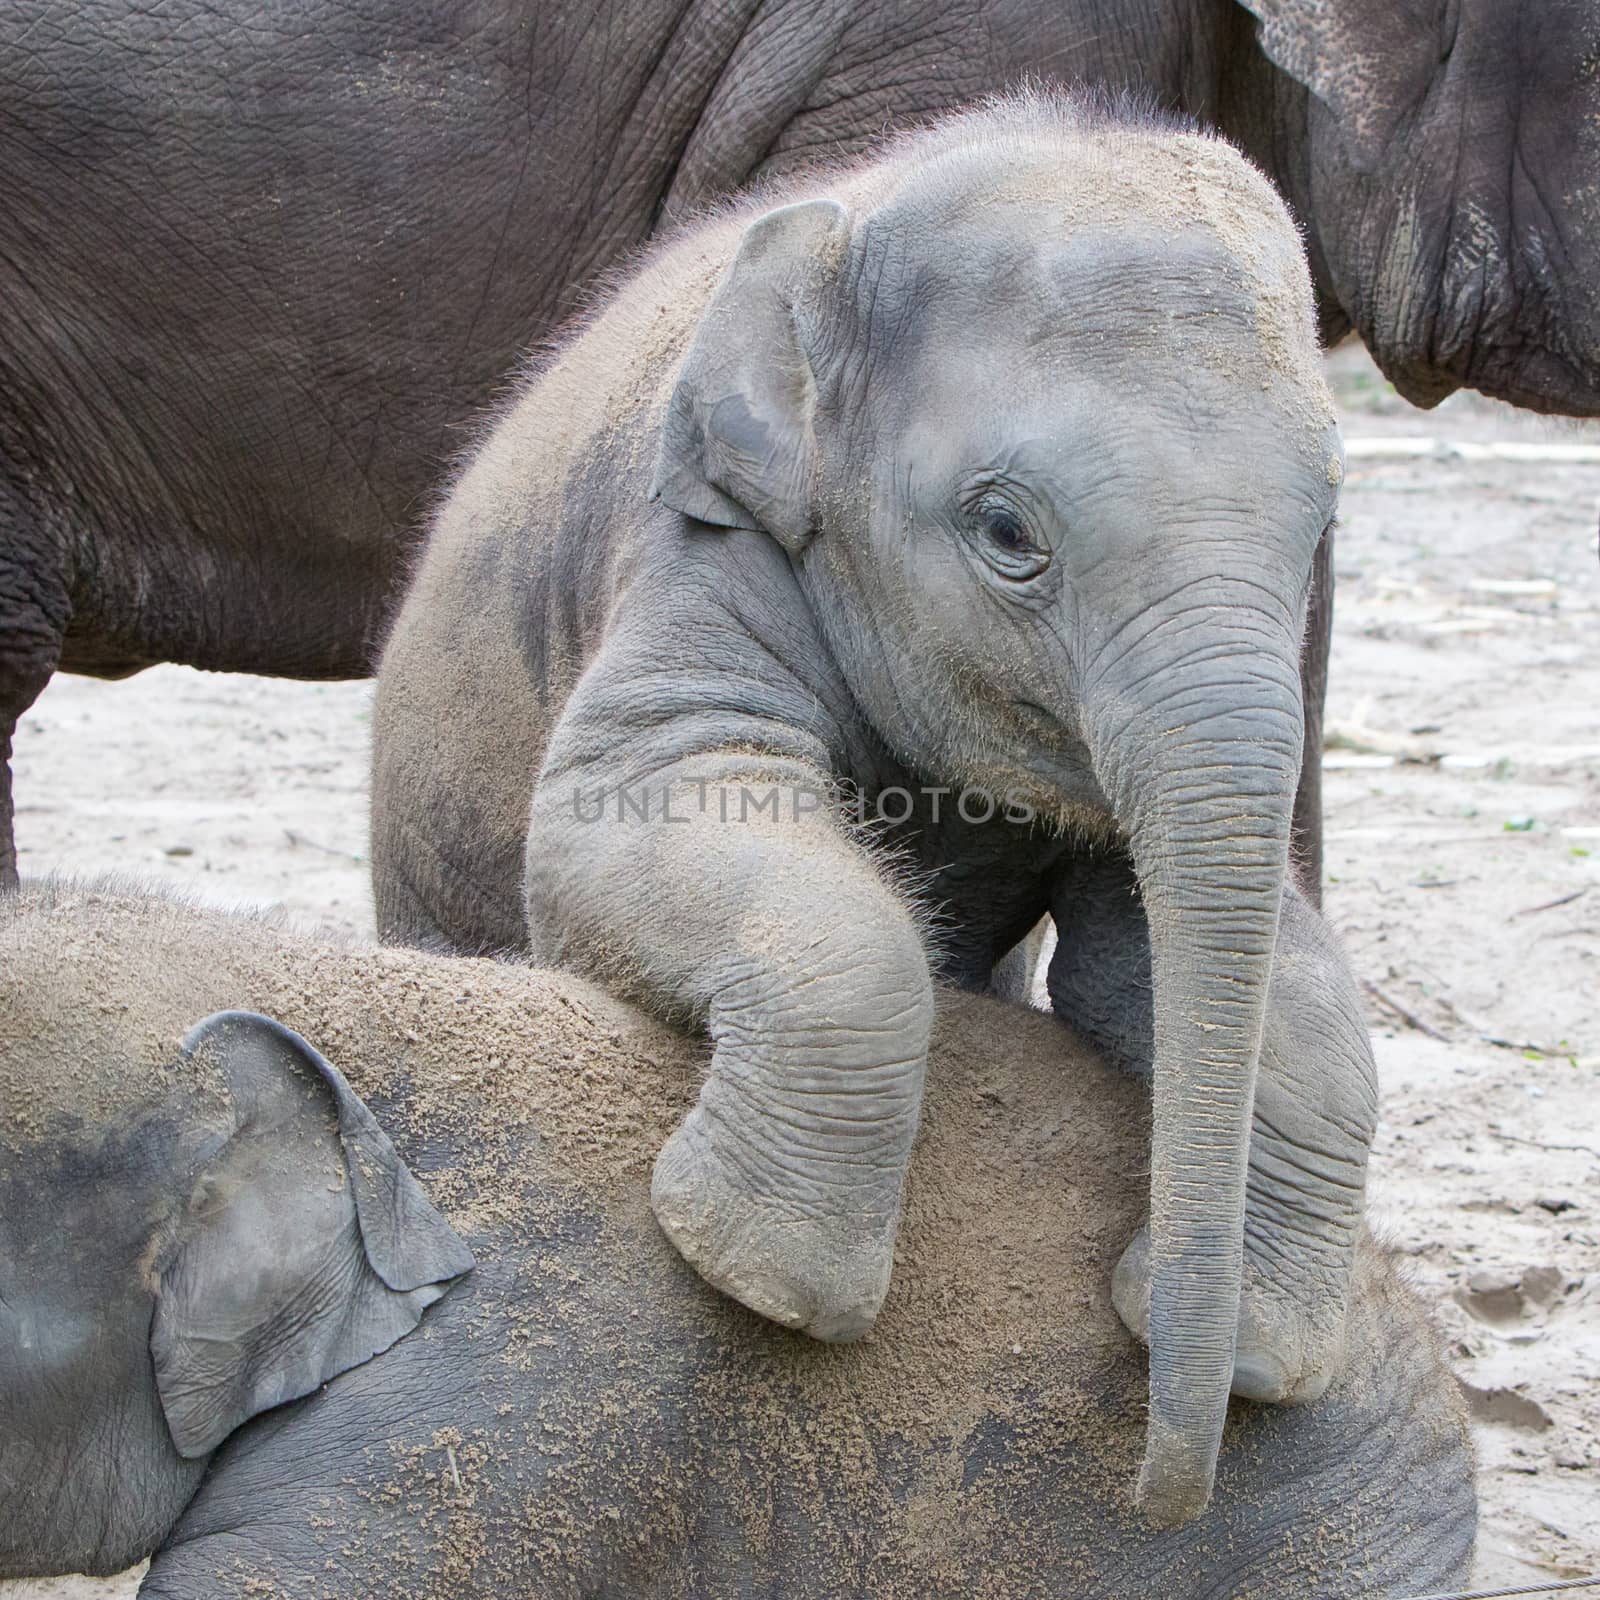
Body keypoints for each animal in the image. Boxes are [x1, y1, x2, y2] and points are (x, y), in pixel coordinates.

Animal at [371, 93, 1376, 1516]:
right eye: (1007, 531)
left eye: (1324, 527)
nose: (1153, 1494)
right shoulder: (701, 540)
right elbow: (627, 816)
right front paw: (758, 1274)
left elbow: (1188, 951)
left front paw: (1263, 1357)